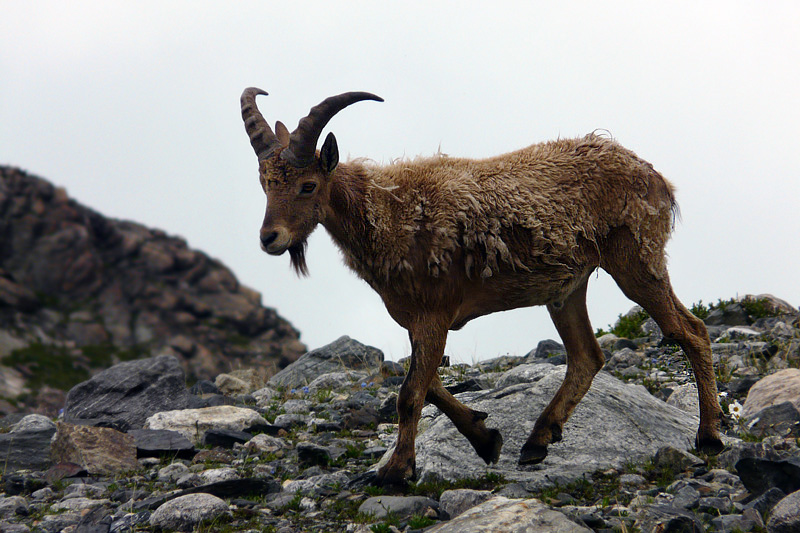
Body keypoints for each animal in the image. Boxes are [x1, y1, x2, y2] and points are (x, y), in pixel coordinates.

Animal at [239, 88, 724, 486]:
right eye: (264, 184)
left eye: (308, 185)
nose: (269, 239)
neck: (386, 213)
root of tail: (654, 176)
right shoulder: (416, 320)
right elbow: (429, 382)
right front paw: (486, 438)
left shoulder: (433, 313)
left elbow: (410, 393)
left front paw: (395, 471)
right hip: (568, 289)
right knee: (587, 355)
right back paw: (537, 441)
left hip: (636, 261)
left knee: (690, 330)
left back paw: (709, 436)